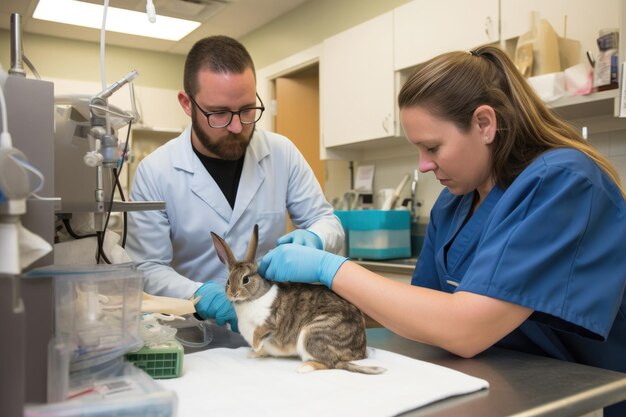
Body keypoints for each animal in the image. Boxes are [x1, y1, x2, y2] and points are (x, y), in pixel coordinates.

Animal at [211, 224, 386, 374]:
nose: (233, 293)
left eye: (245, 279)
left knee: (330, 364)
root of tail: (359, 352)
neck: (254, 297)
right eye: (228, 281)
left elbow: (260, 333)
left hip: (311, 335)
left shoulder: (269, 323)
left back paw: (304, 367)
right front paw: (254, 354)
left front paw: (255, 347)